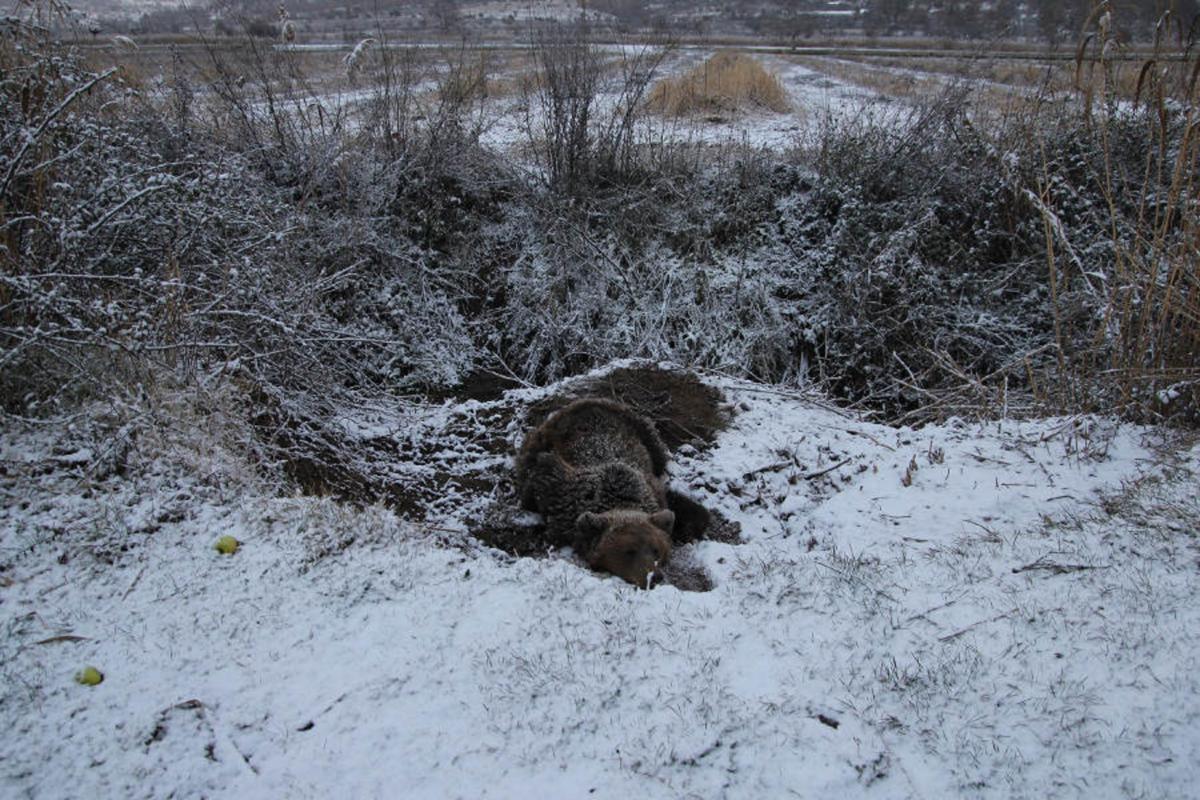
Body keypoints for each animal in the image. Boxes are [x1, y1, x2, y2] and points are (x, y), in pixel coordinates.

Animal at [518, 400, 681, 587]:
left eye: (656, 549)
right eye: (629, 551)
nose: (653, 577)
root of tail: (587, 401)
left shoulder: (654, 491)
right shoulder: (561, 493)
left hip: (646, 434)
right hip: (544, 436)